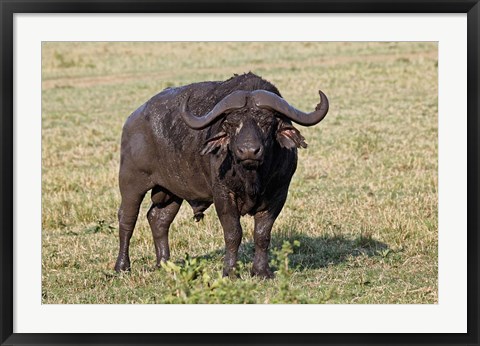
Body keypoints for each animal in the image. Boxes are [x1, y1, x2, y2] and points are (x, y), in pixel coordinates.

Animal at [114, 73, 328, 278]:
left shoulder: (278, 194)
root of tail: (132, 120)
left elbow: (262, 234)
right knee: (127, 219)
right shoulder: (223, 194)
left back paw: (165, 264)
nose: (249, 151)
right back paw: (122, 266)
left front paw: (261, 271)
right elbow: (233, 233)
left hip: (170, 191)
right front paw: (231, 272)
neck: (251, 176)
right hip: (131, 182)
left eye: (267, 122)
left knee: (159, 219)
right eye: (232, 123)